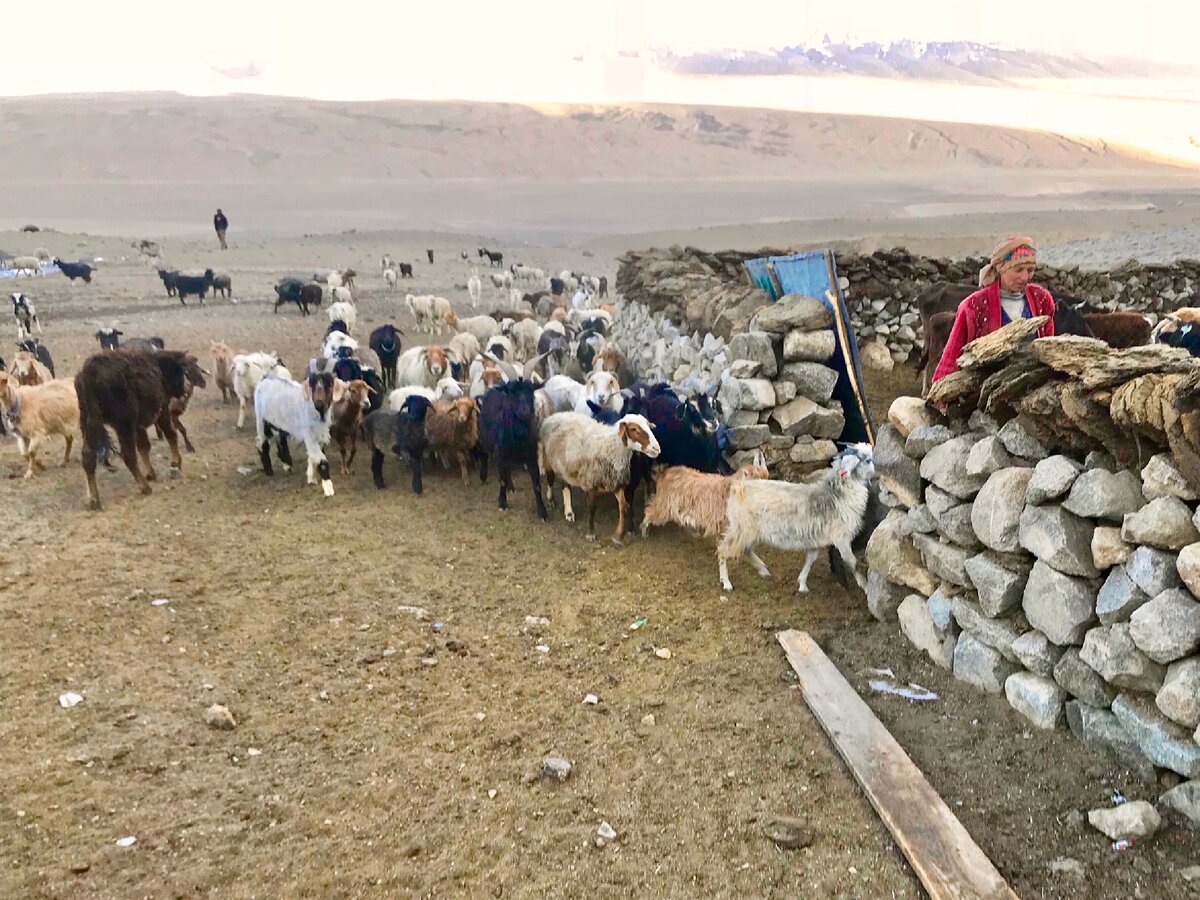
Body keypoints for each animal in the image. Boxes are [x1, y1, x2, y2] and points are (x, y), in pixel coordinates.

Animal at [480, 381, 549, 520]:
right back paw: (484, 476)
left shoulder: (531, 457)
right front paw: (502, 503)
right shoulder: (499, 455)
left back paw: (511, 486)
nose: (525, 412)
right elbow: (502, 481)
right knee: (485, 456)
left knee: (507, 469)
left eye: (531, 392)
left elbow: (537, 485)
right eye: (512, 393)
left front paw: (542, 512)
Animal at [540, 412, 662, 547]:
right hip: (549, 459)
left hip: (565, 464)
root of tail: (556, 415)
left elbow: (623, 507)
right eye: (633, 429)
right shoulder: (590, 482)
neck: (611, 447)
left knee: (565, 485)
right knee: (551, 479)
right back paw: (552, 500)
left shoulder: (615, 483)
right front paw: (590, 533)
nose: (656, 449)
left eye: (648, 426)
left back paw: (569, 512)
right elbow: (592, 508)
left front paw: (618, 536)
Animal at [715, 441, 878, 595]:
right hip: (741, 527)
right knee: (723, 549)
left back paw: (763, 570)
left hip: (749, 530)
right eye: (868, 460)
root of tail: (739, 487)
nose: (878, 474)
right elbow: (853, 564)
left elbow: (811, 559)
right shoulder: (841, 538)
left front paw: (802, 584)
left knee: (745, 549)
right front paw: (865, 587)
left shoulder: (817, 537)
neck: (837, 495)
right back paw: (726, 583)